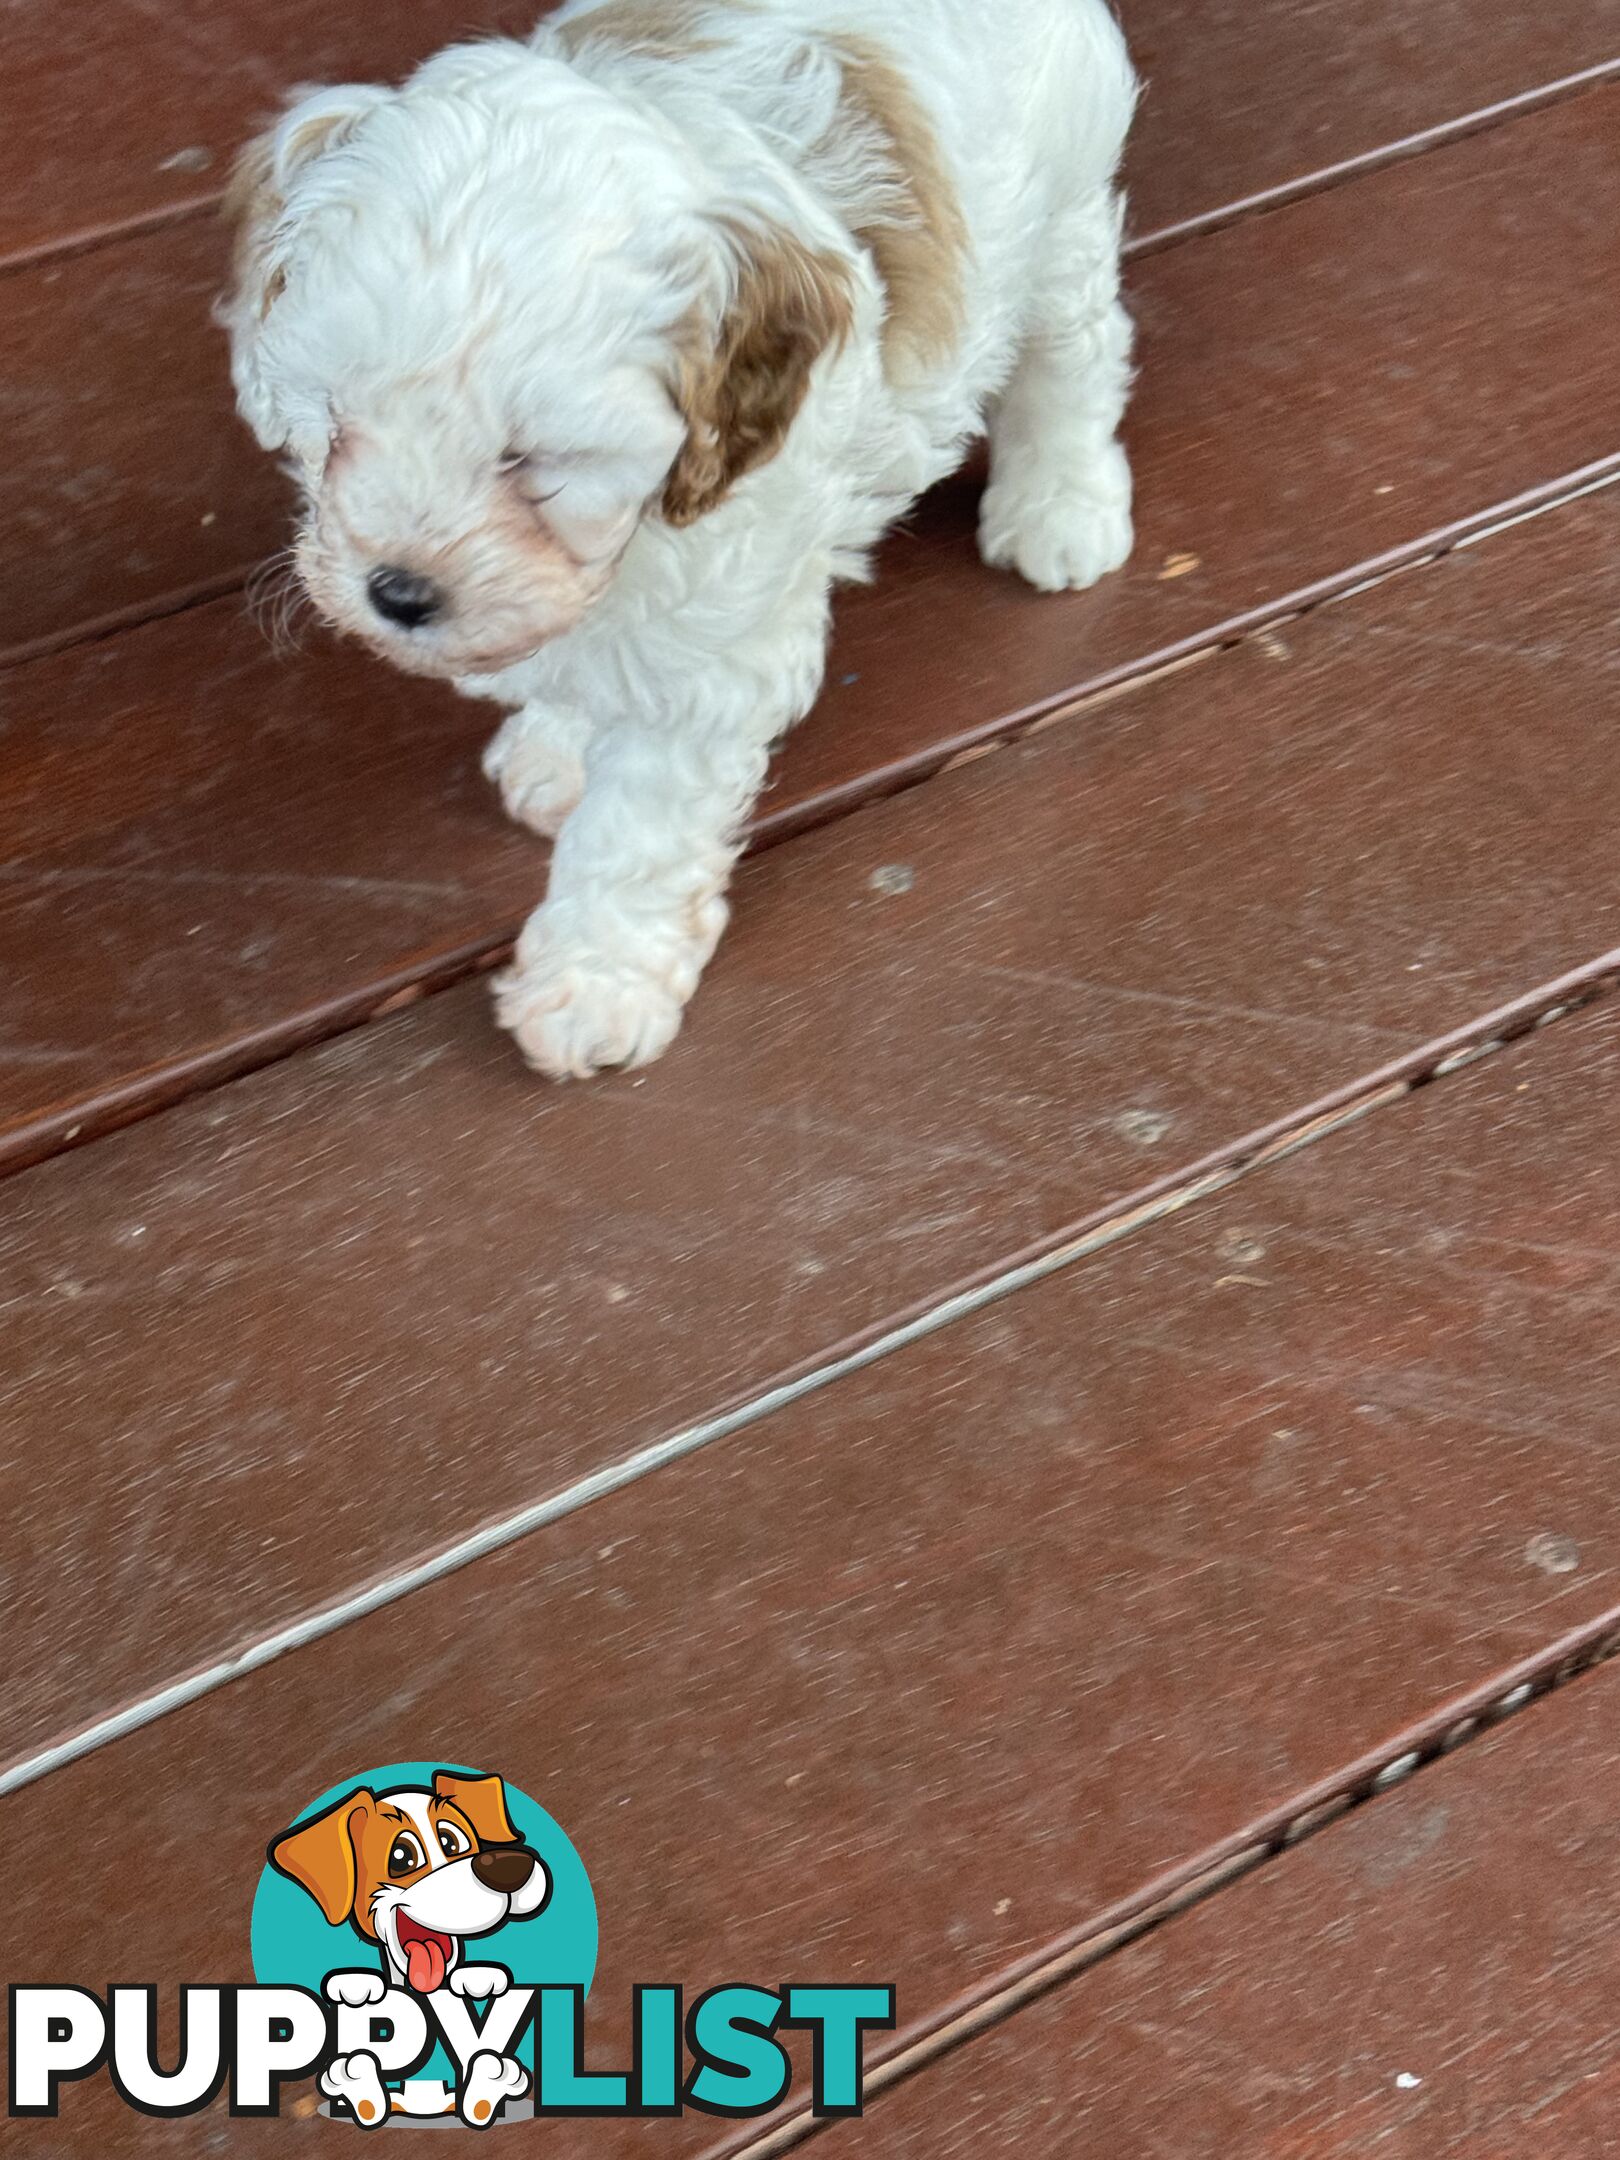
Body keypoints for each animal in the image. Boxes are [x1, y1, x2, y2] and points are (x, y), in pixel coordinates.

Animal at [225, 2, 1140, 1080]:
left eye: (533, 460)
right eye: (337, 422)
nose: (398, 592)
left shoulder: (712, 660)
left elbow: (638, 831)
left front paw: (595, 982)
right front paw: (560, 740)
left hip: (1061, 204)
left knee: (1075, 348)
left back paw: (1061, 503)